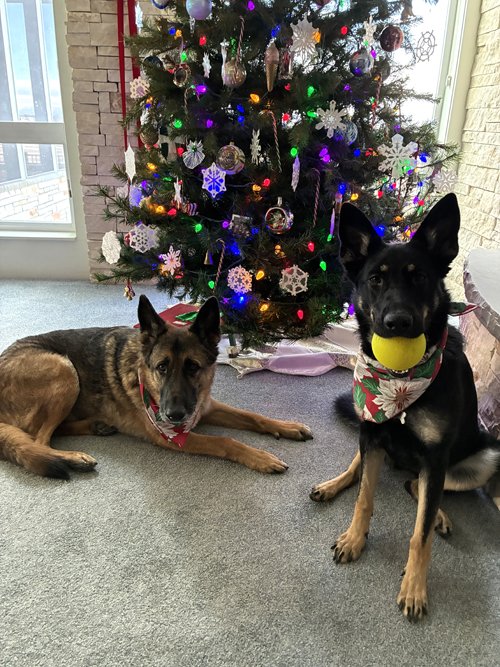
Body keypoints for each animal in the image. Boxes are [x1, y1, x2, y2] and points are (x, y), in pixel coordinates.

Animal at [0, 295, 312, 479]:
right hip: (64, 369)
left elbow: (254, 416)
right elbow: (226, 441)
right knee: (39, 441)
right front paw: (261, 457)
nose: (173, 415)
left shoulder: (206, 406)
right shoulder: (171, 437)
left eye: (192, 367)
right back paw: (74, 458)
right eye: (162, 367)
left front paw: (287, 426)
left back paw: (95, 426)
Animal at [310, 193, 500, 621]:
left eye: (420, 278)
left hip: (485, 456)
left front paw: (414, 587)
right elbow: (364, 498)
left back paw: (440, 514)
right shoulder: (373, 431)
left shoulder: (435, 456)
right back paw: (332, 484)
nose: (397, 322)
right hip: (369, 433)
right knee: (360, 468)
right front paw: (354, 538)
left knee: (421, 488)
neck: (399, 382)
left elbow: (420, 534)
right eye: (375, 279)